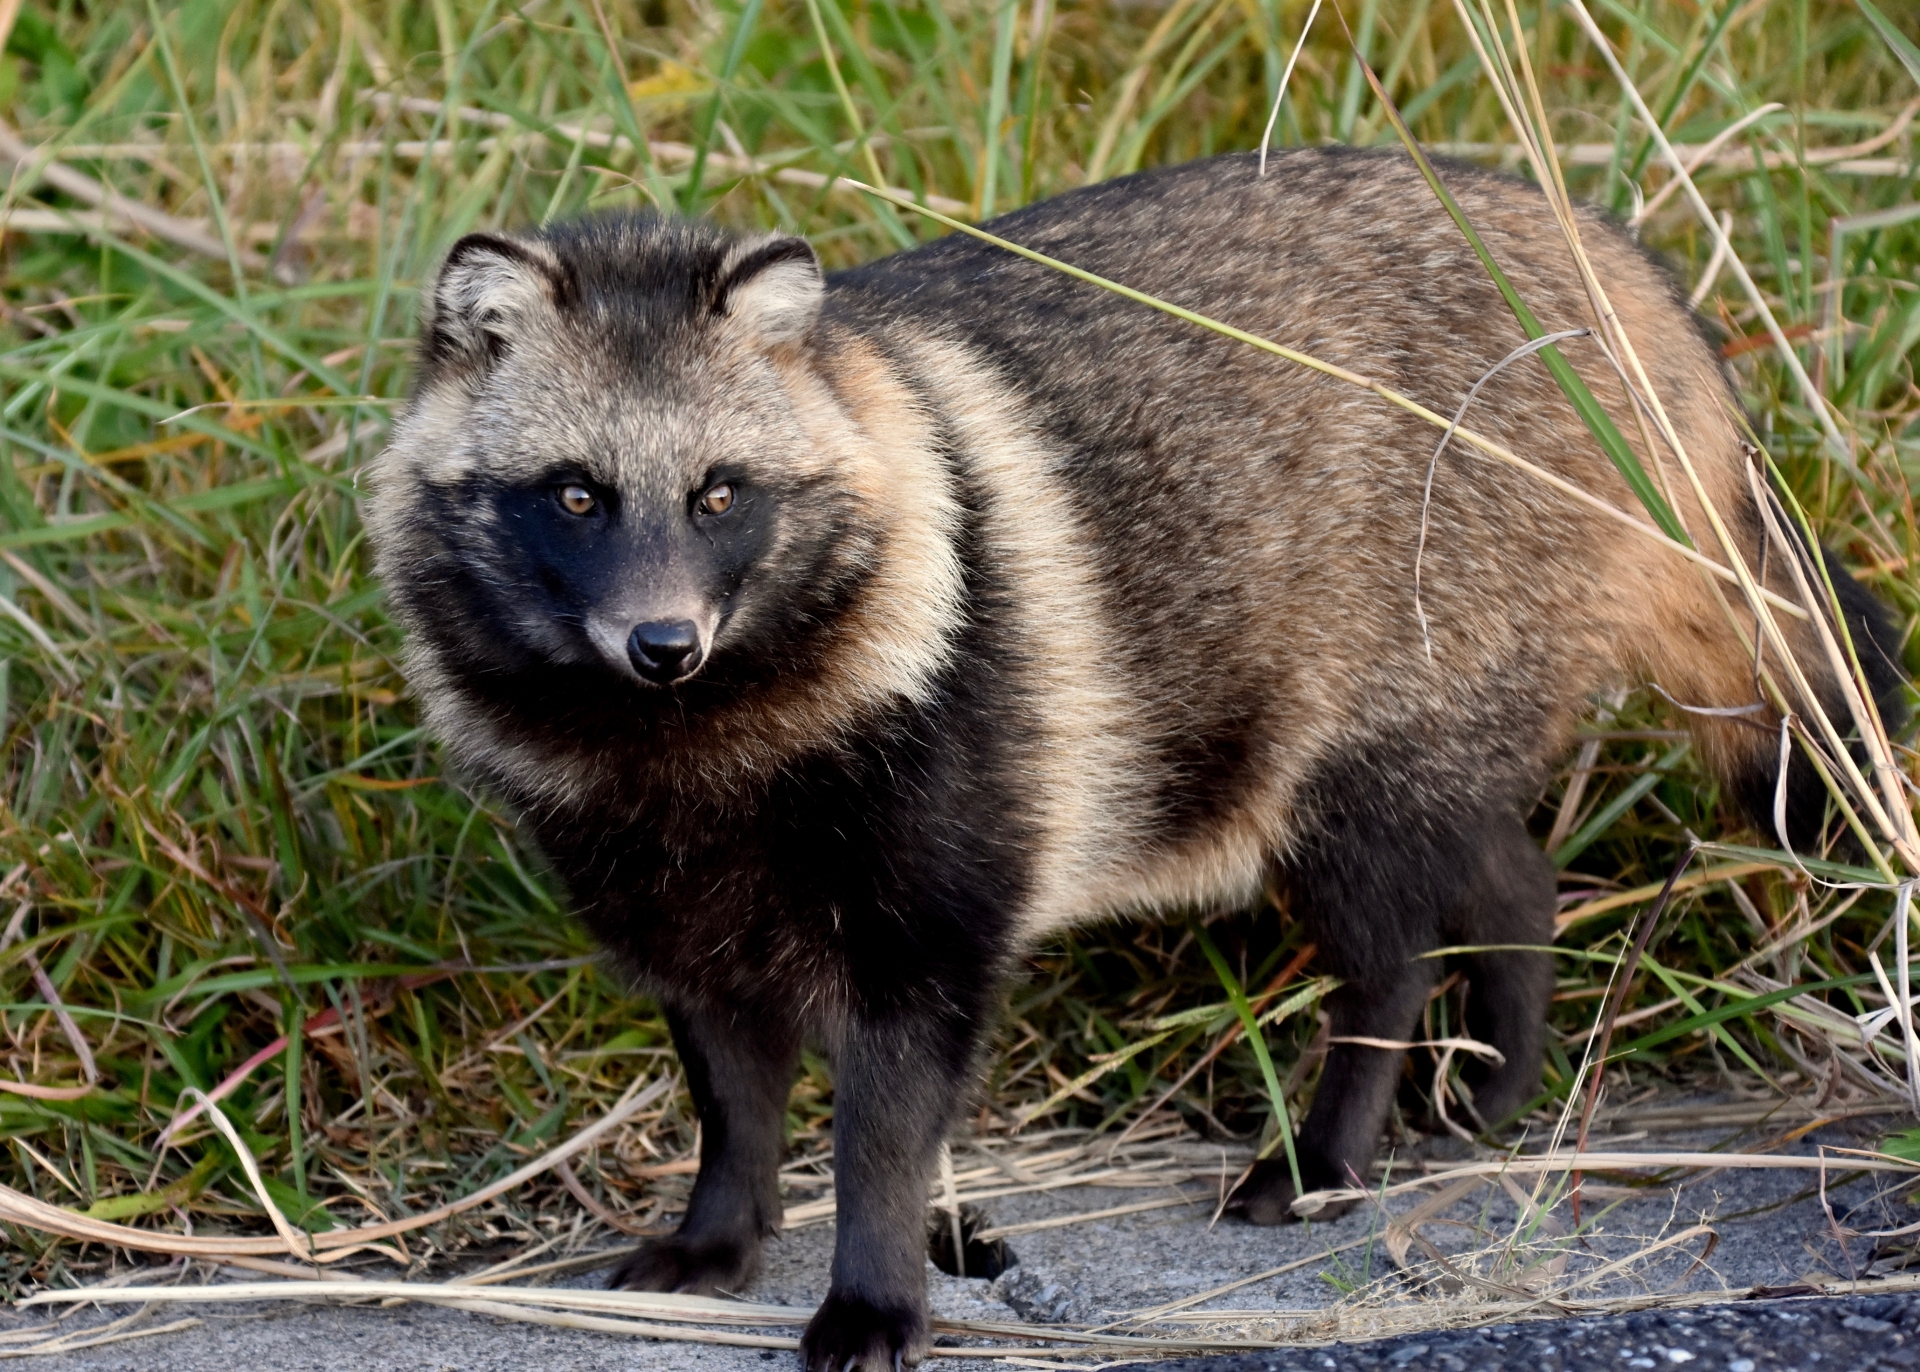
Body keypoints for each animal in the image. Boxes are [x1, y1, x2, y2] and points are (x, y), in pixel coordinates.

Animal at [362, 144, 1904, 1366]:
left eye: (720, 494)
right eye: (574, 495)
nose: (662, 640)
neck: (692, 748)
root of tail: (1612, 261)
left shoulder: (938, 867)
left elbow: (884, 1125)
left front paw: (876, 1287)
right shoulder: (668, 894)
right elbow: (730, 1084)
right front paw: (723, 1226)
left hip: (1361, 740)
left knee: (1389, 951)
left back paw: (1332, 1141)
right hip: (1430, 728)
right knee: (1513, 877)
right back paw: (1502, 1076)